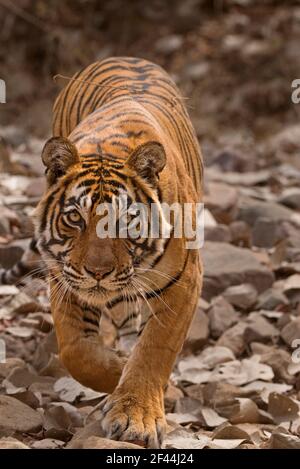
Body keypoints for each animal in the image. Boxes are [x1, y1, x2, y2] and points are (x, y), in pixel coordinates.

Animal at [0, 56, 204, 448]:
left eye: (125, 221)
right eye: (74, 218)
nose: (98, 272)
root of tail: (124, 56)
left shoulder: (183, 282)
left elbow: (154, 349)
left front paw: (137, 415)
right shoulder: (64, 277)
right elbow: (76, 351)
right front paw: (118, 369)